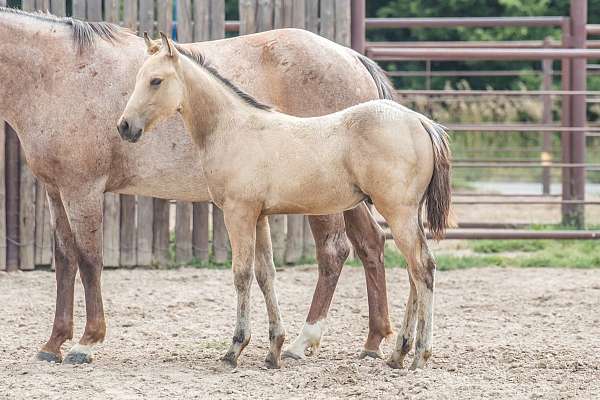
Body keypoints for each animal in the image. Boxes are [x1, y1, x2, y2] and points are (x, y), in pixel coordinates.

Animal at [2, 9, 396, 366]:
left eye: (155, 81)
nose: (126, 127)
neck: (62, 73)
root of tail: (353, 58)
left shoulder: (82, 190)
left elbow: (89, 259)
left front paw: (86, 342)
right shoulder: (56, 190)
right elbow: (65, 259)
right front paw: (54, 343)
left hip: (323, 200)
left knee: (333, 251)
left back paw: (302, 342)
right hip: (349, 196)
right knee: (371, 243)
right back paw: (373, 341)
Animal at [120, 33, 450, 368]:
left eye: (156, 80)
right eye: (139, 78)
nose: (125, 126)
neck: (233, 128)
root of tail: (421, 122)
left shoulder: (238, 213)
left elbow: (242, 274)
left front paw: (235, 349)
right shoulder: (259, 216)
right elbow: (266, 274)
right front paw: (273, 349)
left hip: (398, 213)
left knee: (422, 268)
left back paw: (419, 354)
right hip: (407, 216)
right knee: (413, 273)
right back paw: (398, 352)